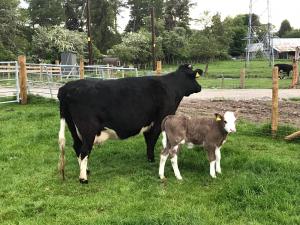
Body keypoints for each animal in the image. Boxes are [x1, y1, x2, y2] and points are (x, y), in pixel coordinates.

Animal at [57, 64, 203, 184]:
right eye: (194, 77)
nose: (200, 87)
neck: (171, 86)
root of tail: (67, 87)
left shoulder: (148, 124)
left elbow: (148, 140)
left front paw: (149, 159)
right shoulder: (158, 121)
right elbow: (152, 140)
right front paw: (152, 160)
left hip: (73, 128)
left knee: (77, 147)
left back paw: (86, 170)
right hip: (88, 130)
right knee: (84, 150)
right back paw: (83, 178)